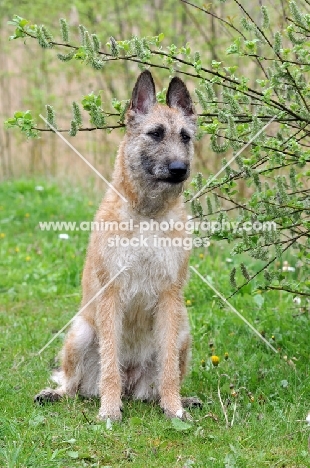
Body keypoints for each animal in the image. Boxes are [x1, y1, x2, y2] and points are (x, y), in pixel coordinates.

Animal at [34, 69, 201, 420]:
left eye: (185, 137)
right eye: (155, 134)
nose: (180, 170)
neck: (148, 215)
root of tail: (132, 381)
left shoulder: (170, 298)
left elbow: (168, 369)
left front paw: (175, 409)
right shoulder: (110, 295)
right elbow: (110, 363)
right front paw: (109, 411)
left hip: (183, 333)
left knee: (160, 381)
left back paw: (176, 399)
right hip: (81, 333)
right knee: (73, 384)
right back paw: (57, 393)